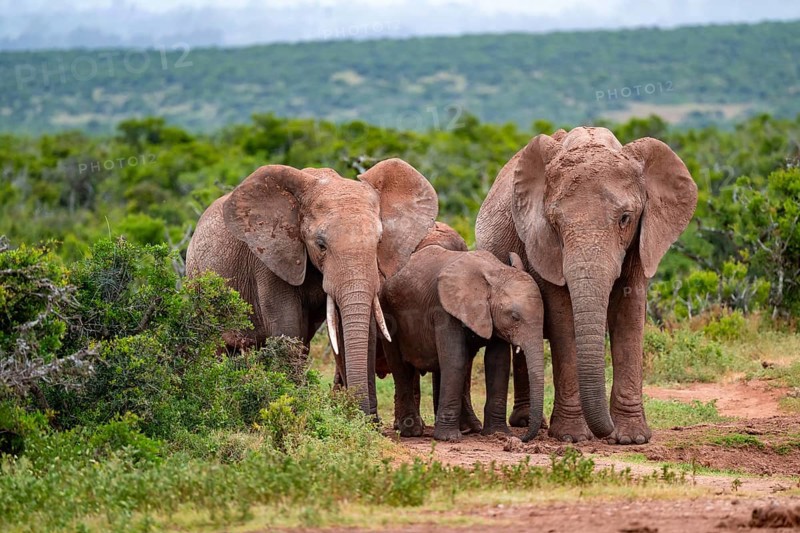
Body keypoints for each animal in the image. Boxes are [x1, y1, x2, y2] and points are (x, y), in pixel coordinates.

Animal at [379, 222, 546, 442]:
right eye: (514, 317)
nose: (522, 438)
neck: (495, 273)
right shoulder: (444, 309)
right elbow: (455, 359)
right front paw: (449, 438)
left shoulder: (492, 317)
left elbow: (498, 362)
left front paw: (497, 433)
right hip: (387, 312)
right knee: (401, 368)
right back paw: (412, 432)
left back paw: (467, 428)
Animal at [475, 127, 697, 444]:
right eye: (554, 222)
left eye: (625, 218)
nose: (606, 431)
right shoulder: (543, 246)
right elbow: (563, 318)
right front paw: (571, 437)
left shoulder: (643, 239)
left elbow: (629, 315)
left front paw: (631, 438)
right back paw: (527, 423)